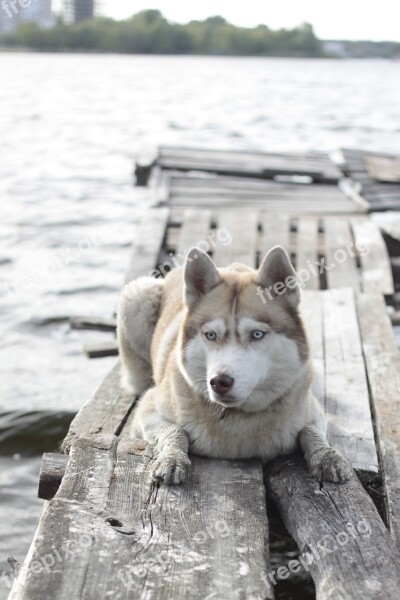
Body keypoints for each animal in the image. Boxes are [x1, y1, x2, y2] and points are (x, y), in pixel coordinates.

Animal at [117, 246, 352, 486]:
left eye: (257, 334)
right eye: (211, 335)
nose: (219, 382)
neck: (237, 419)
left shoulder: (313, 411)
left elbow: (312, 432)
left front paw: (327, 456)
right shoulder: (147, 410)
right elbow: (174, 430)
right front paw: (173, 458)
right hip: (136, 295)